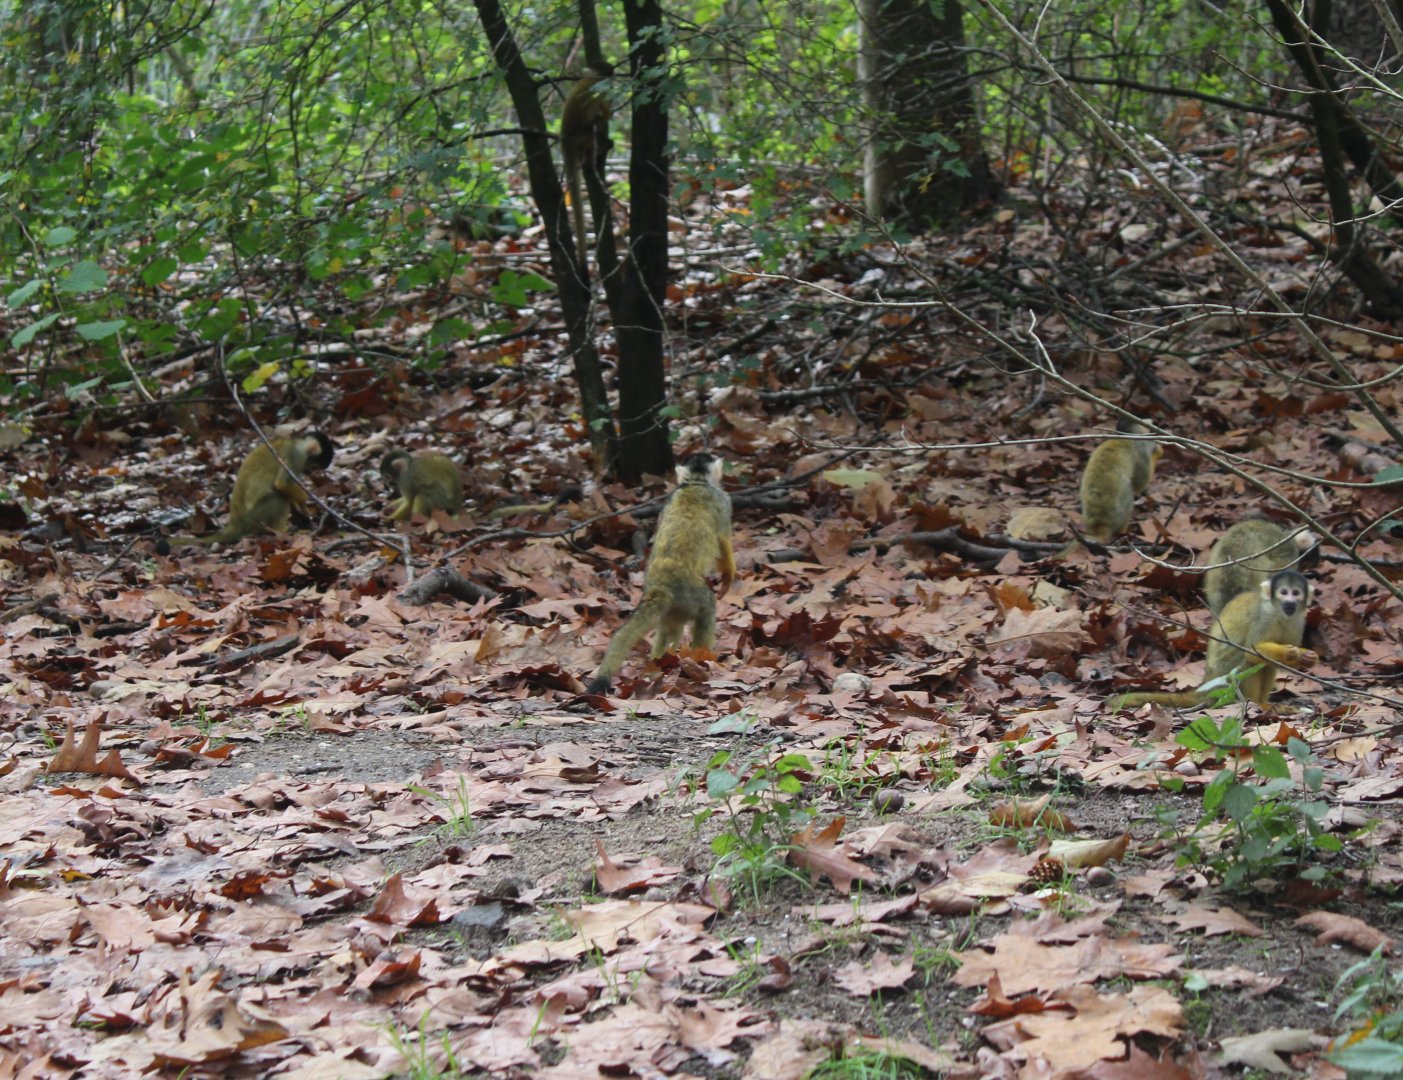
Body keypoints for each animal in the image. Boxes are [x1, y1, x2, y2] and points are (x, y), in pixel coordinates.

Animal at [162, 432, 335, 549]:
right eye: (315, 466)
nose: (311, 473)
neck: (296, 444)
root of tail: (235, 523)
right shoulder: (295, 457)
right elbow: (282, 485)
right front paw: (304, 503)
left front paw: (302, 510)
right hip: (253, 518)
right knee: (278, 498)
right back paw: (280, 533)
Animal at [560, 61, 614, 266]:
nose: (611, 82)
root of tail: (564, 141)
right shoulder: (596, 91)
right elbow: (599, 114)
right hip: (578, 139)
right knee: (593, 126)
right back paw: (602, 144)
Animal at [586, 453, 735, 695]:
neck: (696, 483)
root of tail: (660, 587)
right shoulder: (722, 500)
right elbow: (723, 541)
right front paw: (729, 576)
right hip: (690, 596)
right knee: (706, 609)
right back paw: (702, 657)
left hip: (675, 604)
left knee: (669, 627)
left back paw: (659, 661)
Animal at [1111, 569, 1312, 709]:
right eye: (1284, 592)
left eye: (1295, 593)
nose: (1289, 602)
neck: (1279, 613)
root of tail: (1207, 682)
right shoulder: (1263, 616)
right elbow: (1252, 651)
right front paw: (1290, 652)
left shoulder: (1299, 620)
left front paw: (1304, 656)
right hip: (1225, 676)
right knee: (1248, 661)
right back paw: (1257, 703)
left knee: (1267, 664)